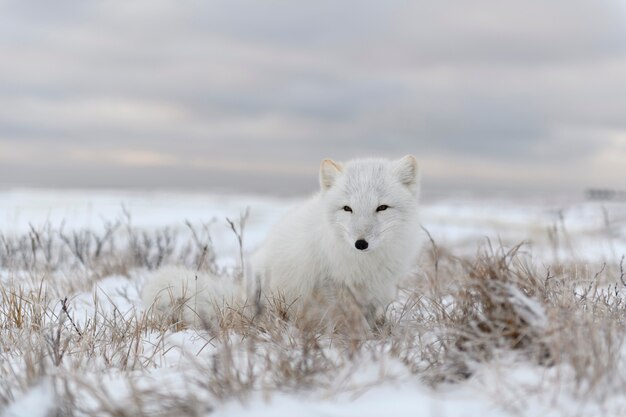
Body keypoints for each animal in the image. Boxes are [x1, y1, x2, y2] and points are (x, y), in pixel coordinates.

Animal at [143, 154, 420, 326]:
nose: (360, 243)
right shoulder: (331, 288)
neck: (364, 264)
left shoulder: (375, 292)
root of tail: (239, 298)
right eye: (347, 209)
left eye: (382, 208)